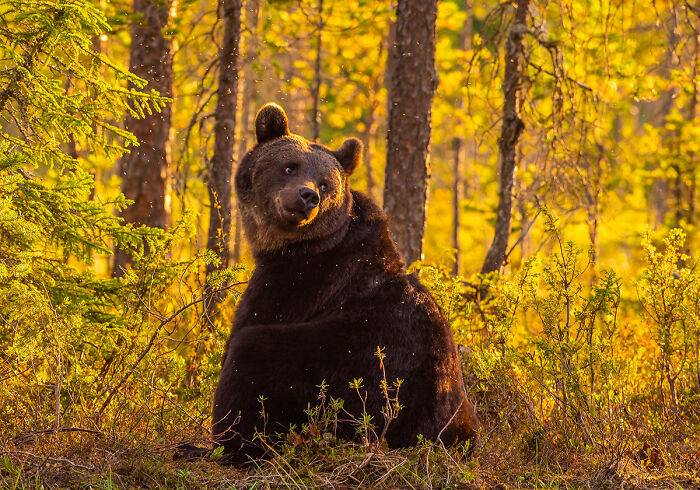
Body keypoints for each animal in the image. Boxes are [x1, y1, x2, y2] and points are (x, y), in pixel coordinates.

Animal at [212, 102, 476, 464]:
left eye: (325, 184)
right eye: (289, 166)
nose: (307, 196)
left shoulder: (298, 282)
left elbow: (246, 327)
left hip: (347, 366)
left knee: (254, 353)